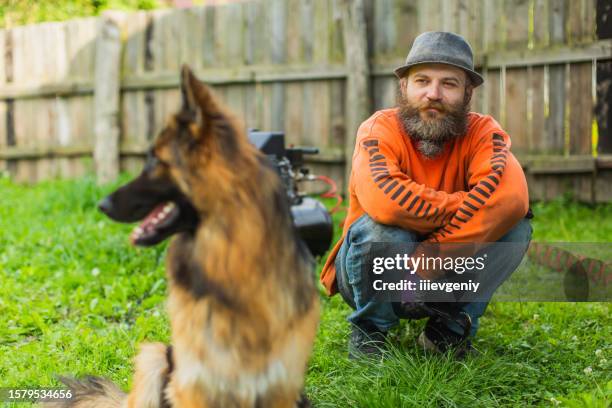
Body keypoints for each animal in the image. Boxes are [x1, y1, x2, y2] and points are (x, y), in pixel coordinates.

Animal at [50, 65, 320, 406]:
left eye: (154, 160)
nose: (101, 204)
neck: (232, 261)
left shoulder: (280, 386)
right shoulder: (194, 384)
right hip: (154, 357)